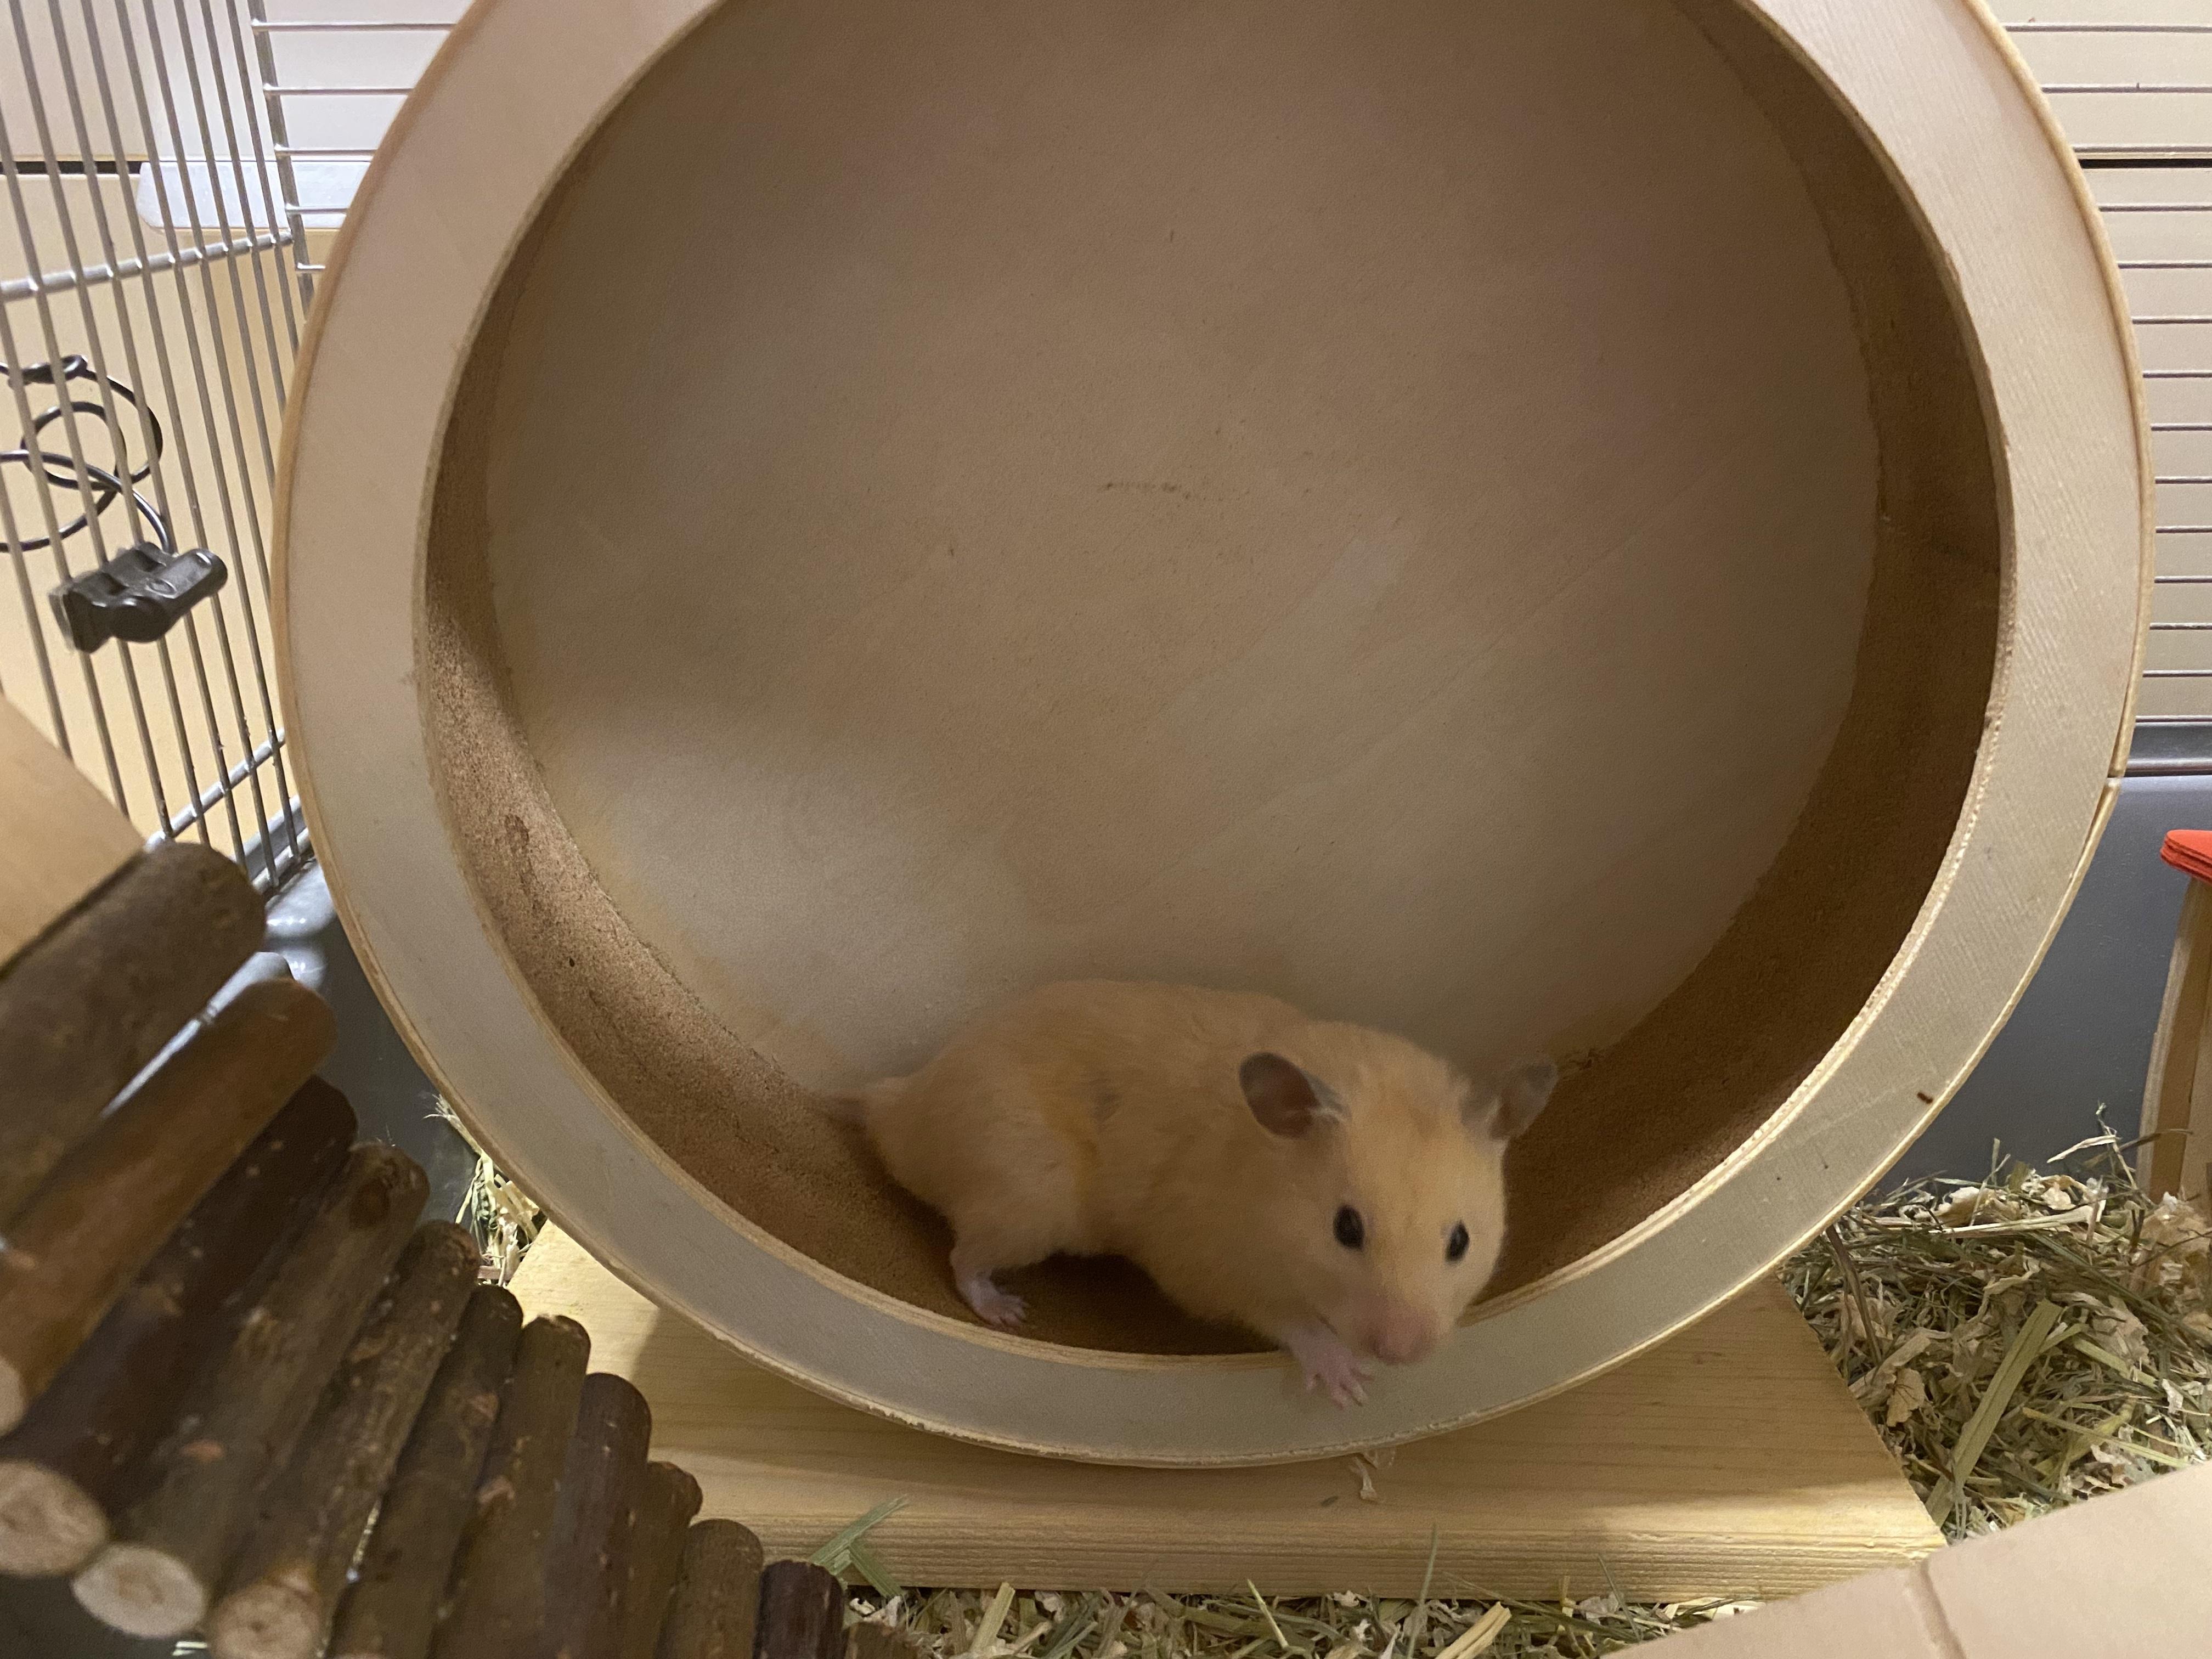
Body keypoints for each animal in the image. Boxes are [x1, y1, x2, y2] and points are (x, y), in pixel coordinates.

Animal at [845, 979, 1557, 1406]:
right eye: (1346, 1229)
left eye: (1461, 1240)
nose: (1402, 1354)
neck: (1269, 1195)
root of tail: (899, 1104)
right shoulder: (1208, 1267)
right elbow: (1288, 1321)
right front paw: (1350, 1385)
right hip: (1026, 1201)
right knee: (962, 1259)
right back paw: (1005, 1311)